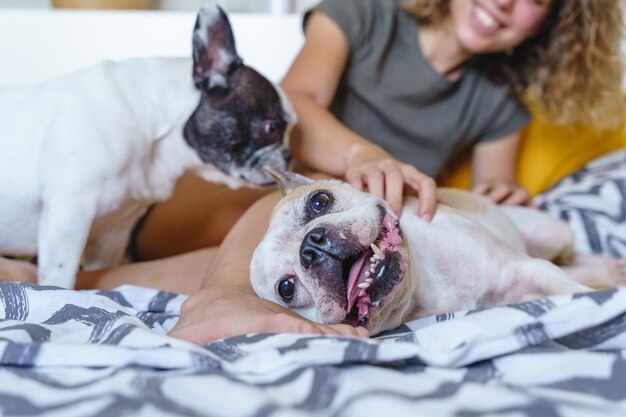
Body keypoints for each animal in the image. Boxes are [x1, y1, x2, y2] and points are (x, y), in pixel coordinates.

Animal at [0, 4, 292, 290]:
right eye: (272, 127)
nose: (289, 154)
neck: (152, 127)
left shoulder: (113, 232)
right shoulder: (69, 215)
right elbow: (60, 280)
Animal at [250, 169, 624, 334]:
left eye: (319, 201)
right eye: (287, 288)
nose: (312, 245)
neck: (421, 288)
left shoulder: (528, 268)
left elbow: (575, 291)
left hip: (551, 234)